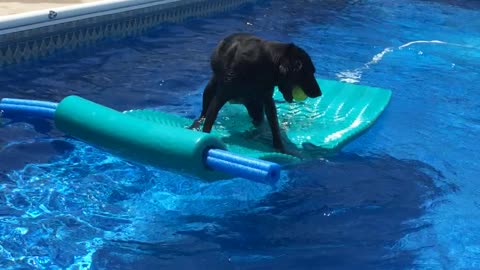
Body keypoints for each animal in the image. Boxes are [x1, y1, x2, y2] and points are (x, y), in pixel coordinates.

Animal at [189, 32, 320, 153]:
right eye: (309, 72)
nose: (319, 93)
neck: (265, 64)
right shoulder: (221, 96)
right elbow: (209, 120)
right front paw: (205, 136)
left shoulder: (268, 100)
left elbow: (274, 125)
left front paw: (280, 148)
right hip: (210, 88)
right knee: (204, 112)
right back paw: (196, 124)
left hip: (255, 108)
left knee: (258, 120)